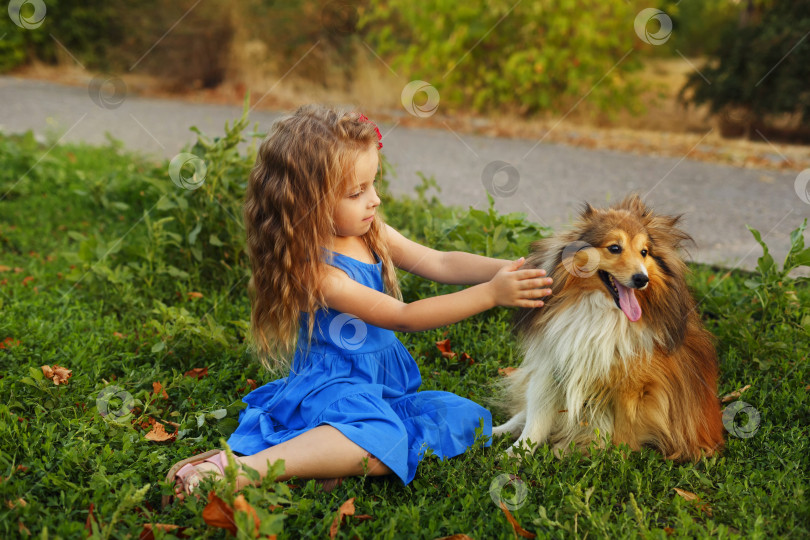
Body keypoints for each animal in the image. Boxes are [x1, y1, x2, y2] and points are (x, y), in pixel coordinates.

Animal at [496, 196, 724, 462]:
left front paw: (616, 457)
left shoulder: (634, 385)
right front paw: (514, 454)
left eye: (644, 252)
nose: (642, 279)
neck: (599, 308)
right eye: (615, 248)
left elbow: (622, 428)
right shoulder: (552, 363)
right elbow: (536, 420)